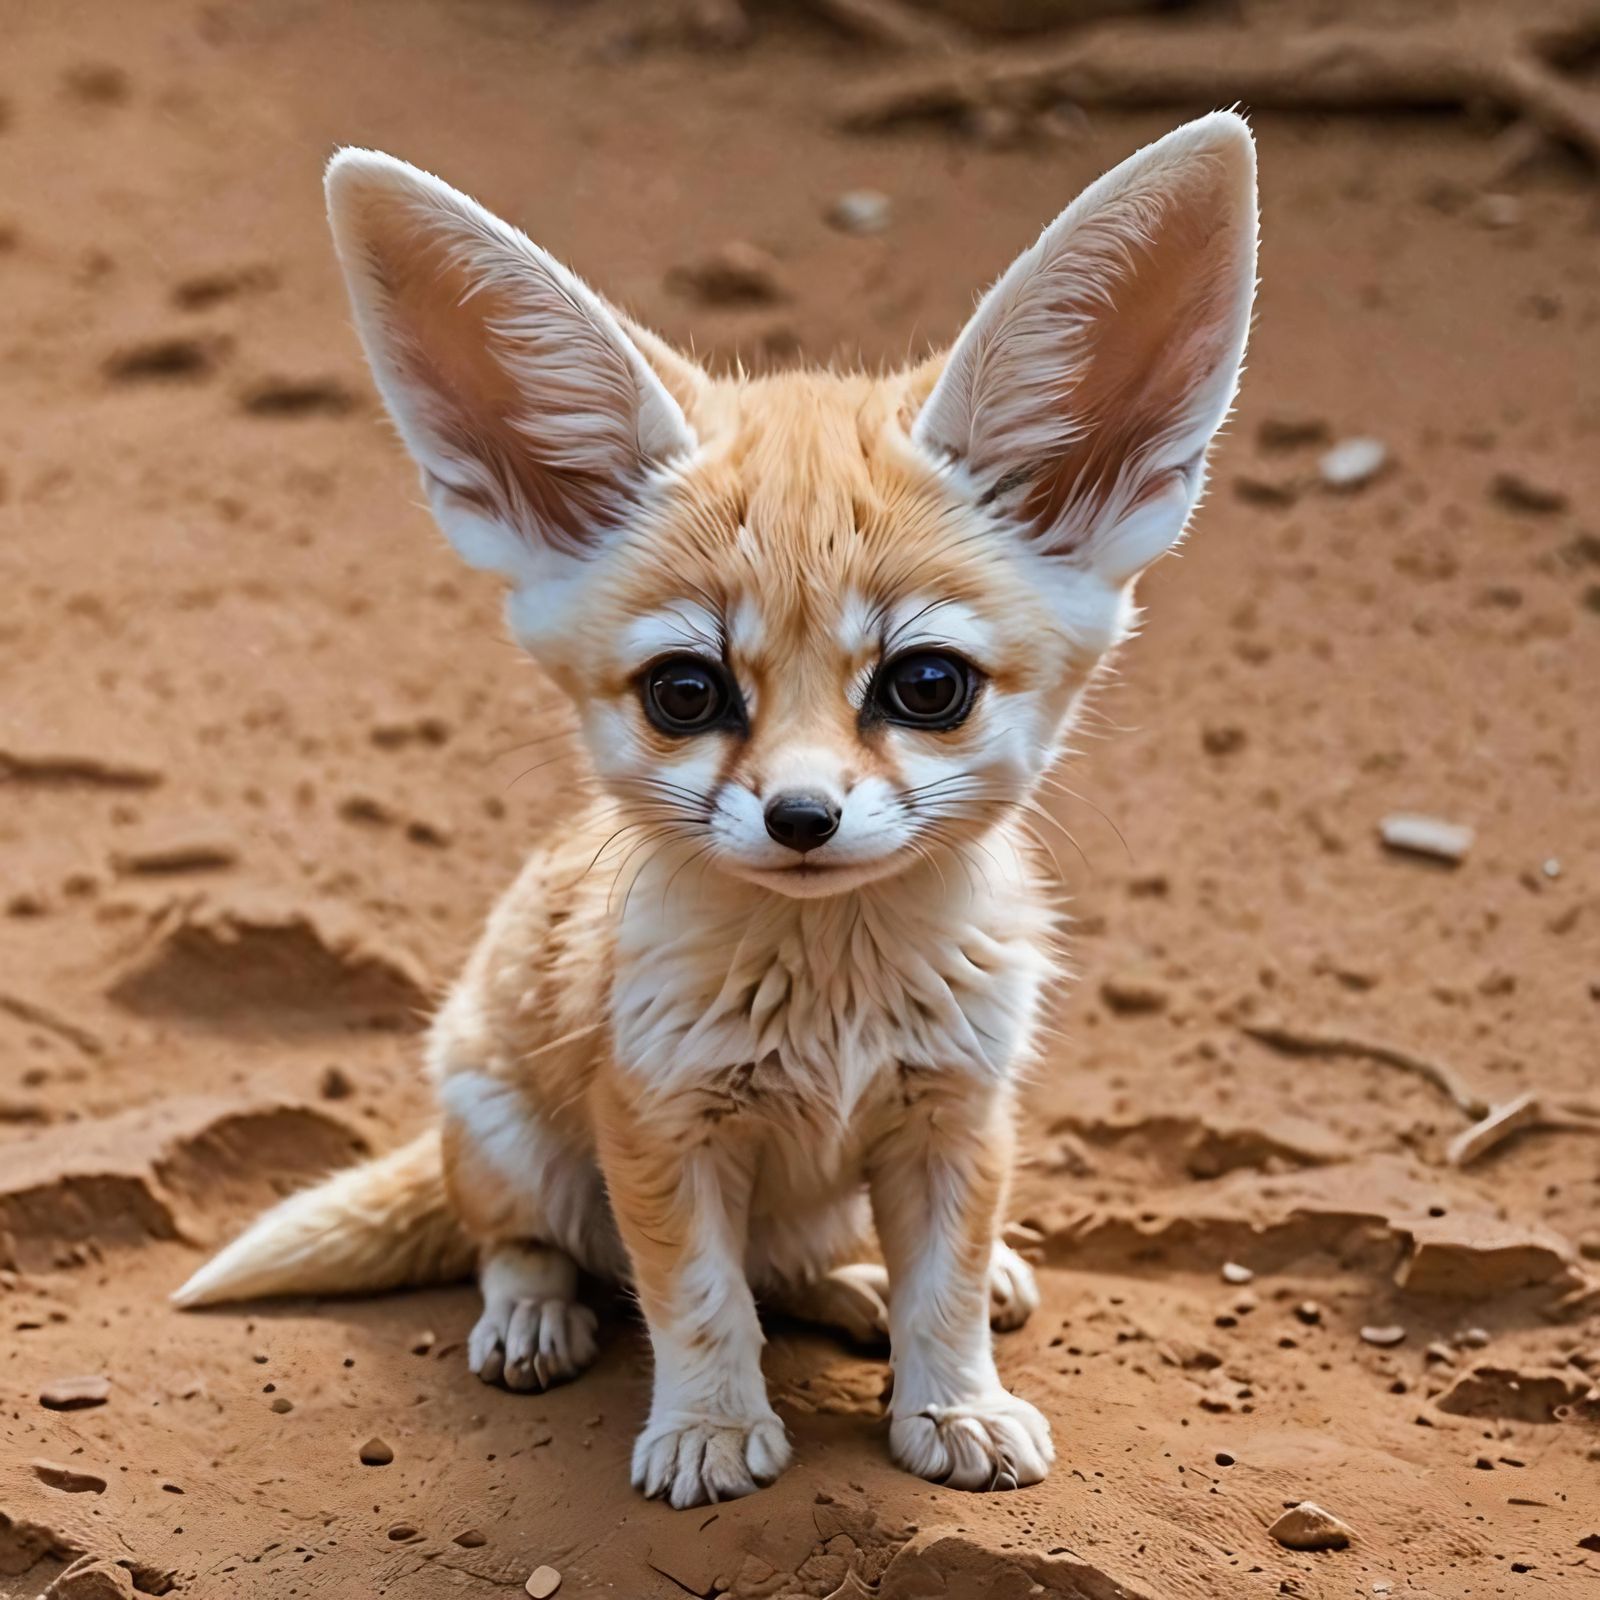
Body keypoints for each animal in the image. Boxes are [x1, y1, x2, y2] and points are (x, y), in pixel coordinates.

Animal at [174, 112, 1258, 1509]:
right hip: (502, 1121)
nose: (800, 817)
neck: (835, 1000)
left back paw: (866, 1286)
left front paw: (953, 1403)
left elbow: (945, 1288)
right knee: (521, 1238)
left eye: (926, 684)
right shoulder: (658, 1123)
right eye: (685, 692)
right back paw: (532, 1315)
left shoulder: (957, 1112)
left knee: (804, 1263)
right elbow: (695, 1296)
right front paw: (708, 1429)